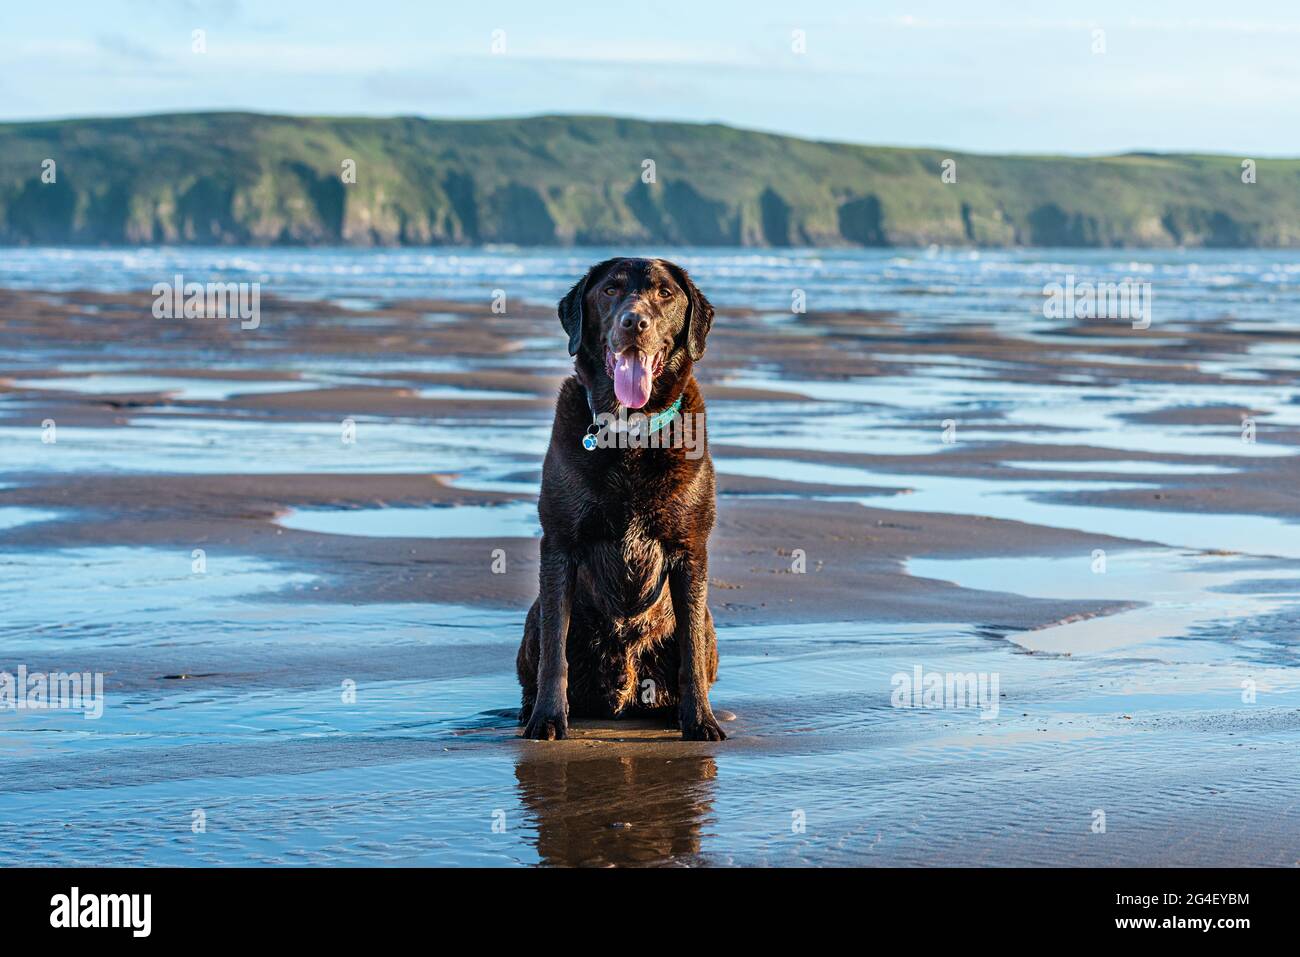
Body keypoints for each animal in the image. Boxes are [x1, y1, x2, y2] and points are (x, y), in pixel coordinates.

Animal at [512, 257, 728, 743]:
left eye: (665, 293)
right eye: (610, 291)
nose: (635, 321)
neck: (630, 433)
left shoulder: (691, 549)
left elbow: (690, 650)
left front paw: (700, 721)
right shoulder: (559, 545)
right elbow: (555, 649)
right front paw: (548, 718)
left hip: (708, 624)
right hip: (533, 615)